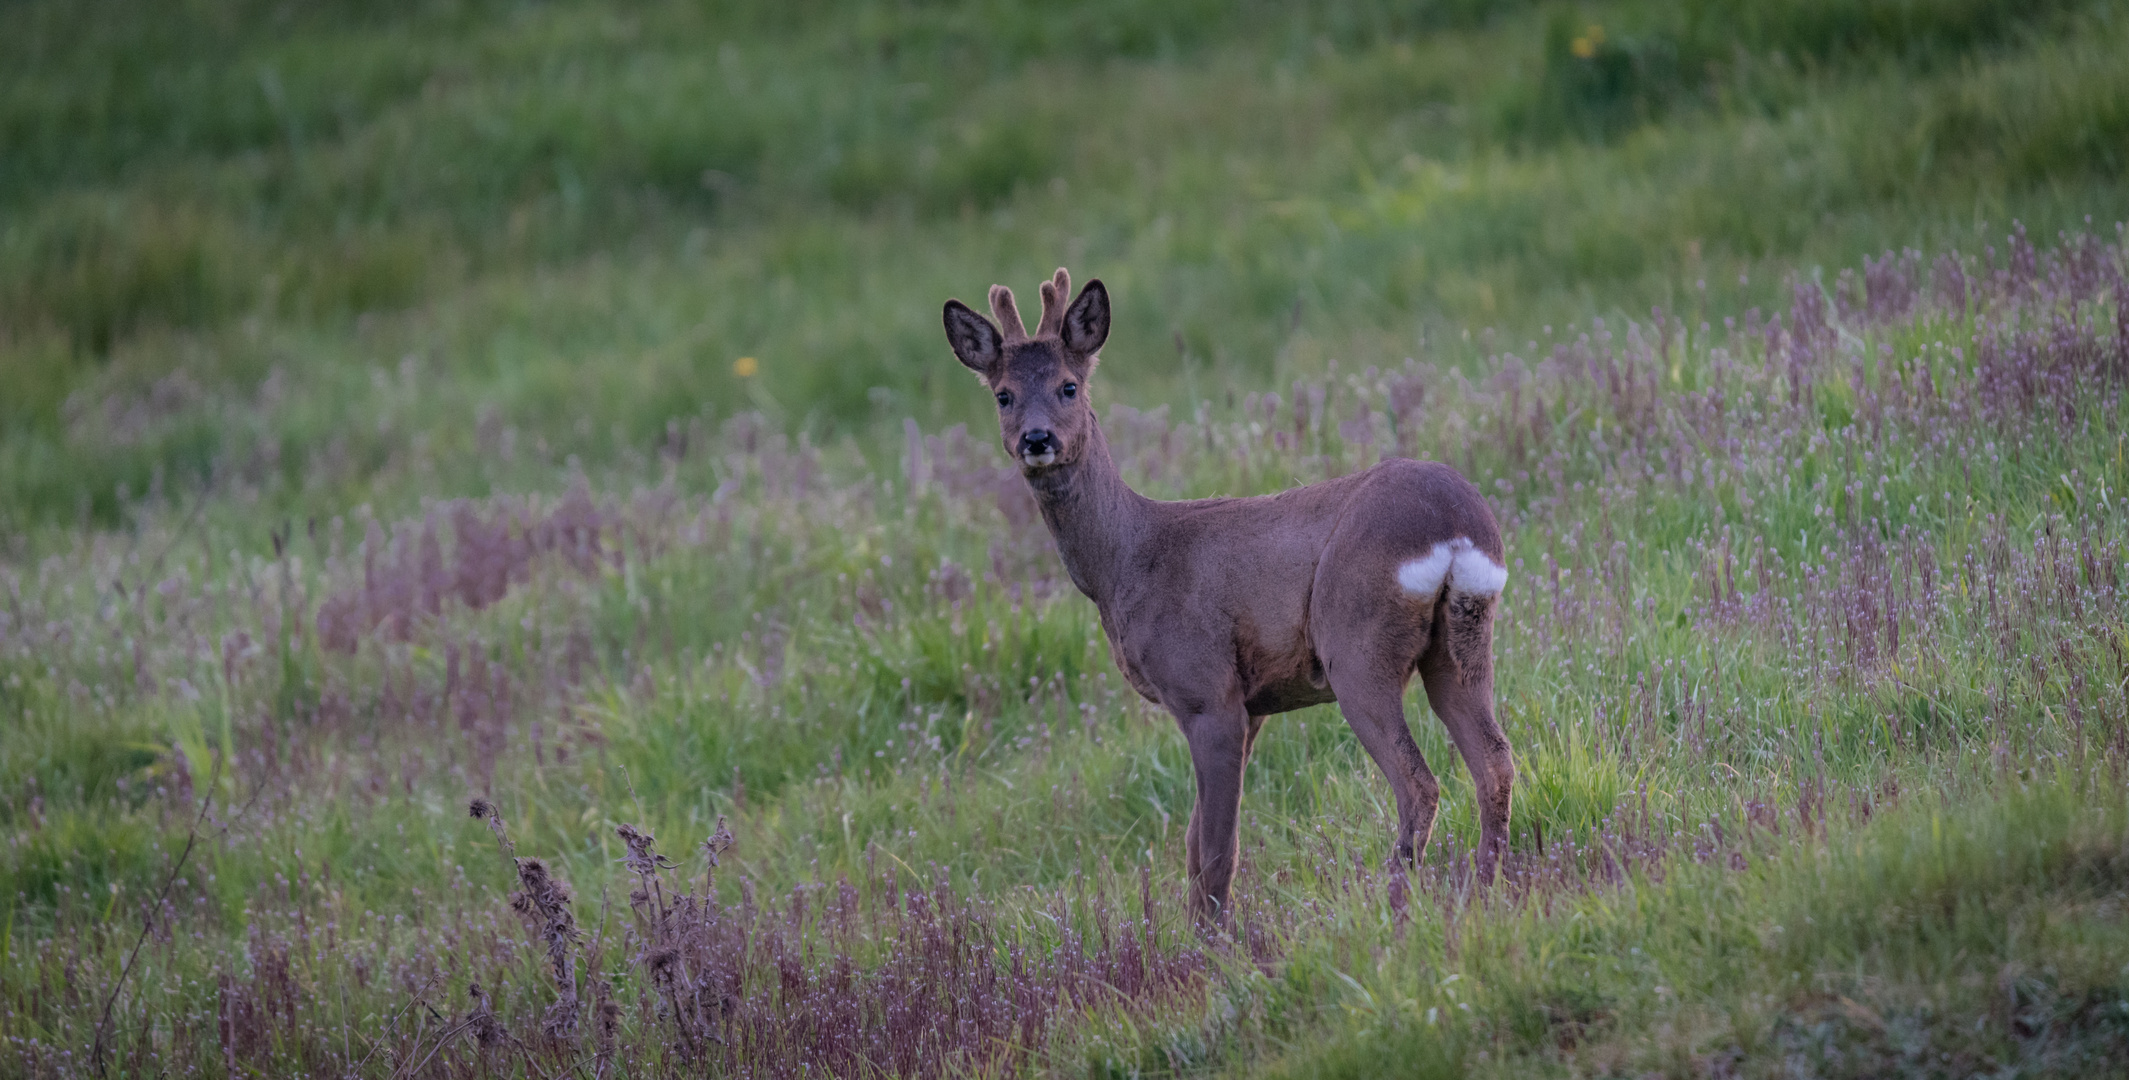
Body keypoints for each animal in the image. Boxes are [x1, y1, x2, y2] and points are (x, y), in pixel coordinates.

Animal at [945, 268, 1515, 920]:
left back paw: (1393, 905)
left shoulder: (1206, 691)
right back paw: (1485, 891)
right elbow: (1195, 842)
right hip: (1463, 642)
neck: (1127, 562)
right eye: (1003, 394)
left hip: (1356, 645)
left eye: (1069, 385)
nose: (1036, 439)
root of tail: (1457, 525)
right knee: (1495, 763)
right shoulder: (1255, 702)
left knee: (1419, 783)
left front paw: (1213, 940)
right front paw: (1193, 931)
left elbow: (1217, 848)